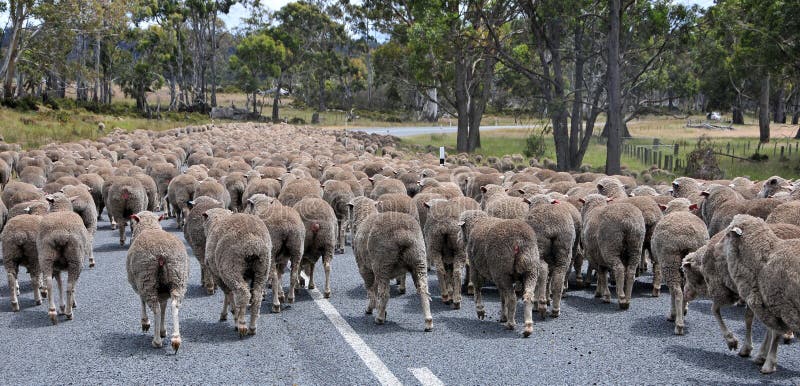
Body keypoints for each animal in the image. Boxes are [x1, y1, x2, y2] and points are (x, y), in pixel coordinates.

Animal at [37, 192, 91, 322]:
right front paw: (71, 304)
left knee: (49, 282)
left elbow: (59, 284)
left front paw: (62, 306)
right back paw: (69, 312)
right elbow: (71, 286)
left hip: (46, 257)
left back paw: (52, 311)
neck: (61, 209)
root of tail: (60, 234)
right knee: (70, 285)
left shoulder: (57, 268)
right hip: (75, 259)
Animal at [126, 211, 189, 352]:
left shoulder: (139, 283)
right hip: (178, 277)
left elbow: (142, 301)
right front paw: (162, 330)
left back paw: (156, 341)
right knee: (174, 305)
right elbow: (164, 306)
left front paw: (145, 323)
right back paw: (176, 339)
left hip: (147, 279)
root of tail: (162, 253)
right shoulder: (163, 291)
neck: (149, 227)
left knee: (156, 308)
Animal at [652, 201, 708, 334]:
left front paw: (673, 314)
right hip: (690, 264)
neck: (679, 210)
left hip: (669, 261)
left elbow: (673, 292)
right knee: (685, 290)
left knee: (677, 291)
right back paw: (682, 314)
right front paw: (684, 310)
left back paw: (678, 323)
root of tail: (685, 239)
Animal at [720, 216, 800, 372]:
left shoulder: (781, 305)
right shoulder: (768, 302)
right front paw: (761, 355)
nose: (716, 245)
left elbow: (775, 333)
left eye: (727, 234)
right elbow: (770, 330)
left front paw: (768, 364)